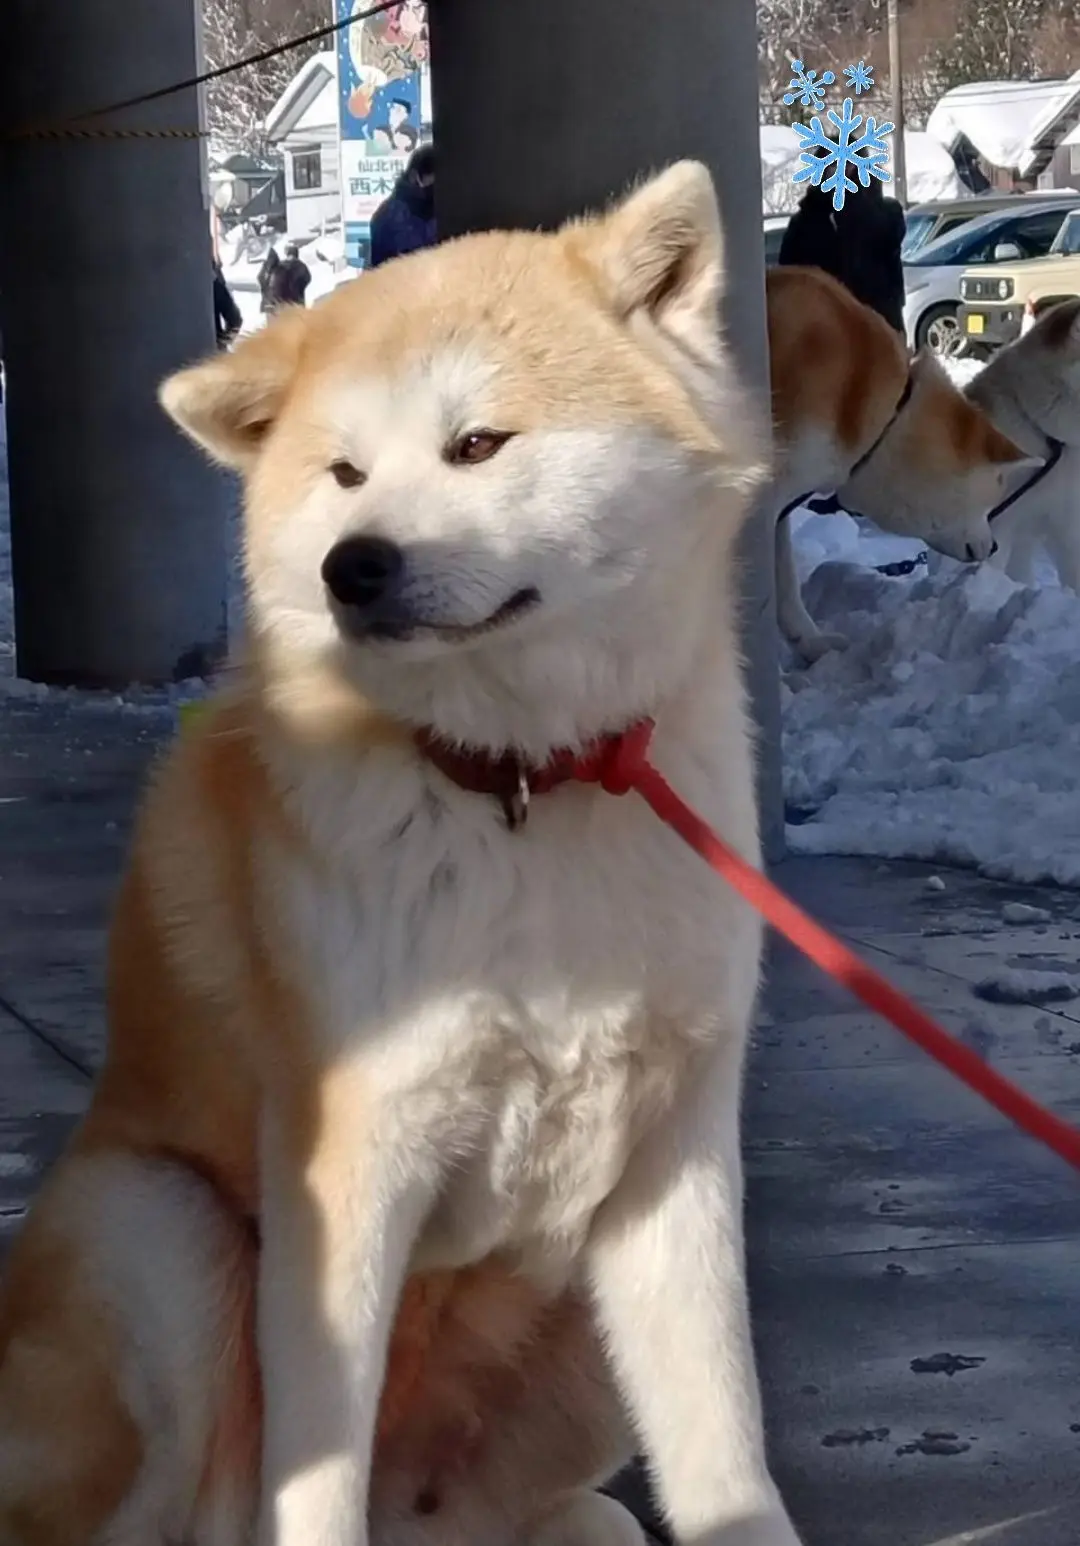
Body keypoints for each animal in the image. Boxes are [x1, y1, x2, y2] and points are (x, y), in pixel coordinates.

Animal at [0, 166, 803, 1546]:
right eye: (342, 472)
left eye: (478, 444)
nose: (354, 567)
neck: (519, 783)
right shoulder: (350, 1166)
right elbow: (312, 1481)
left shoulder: (675, 1161)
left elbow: (722, 1450)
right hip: (166, 1236)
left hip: (573, 1358)